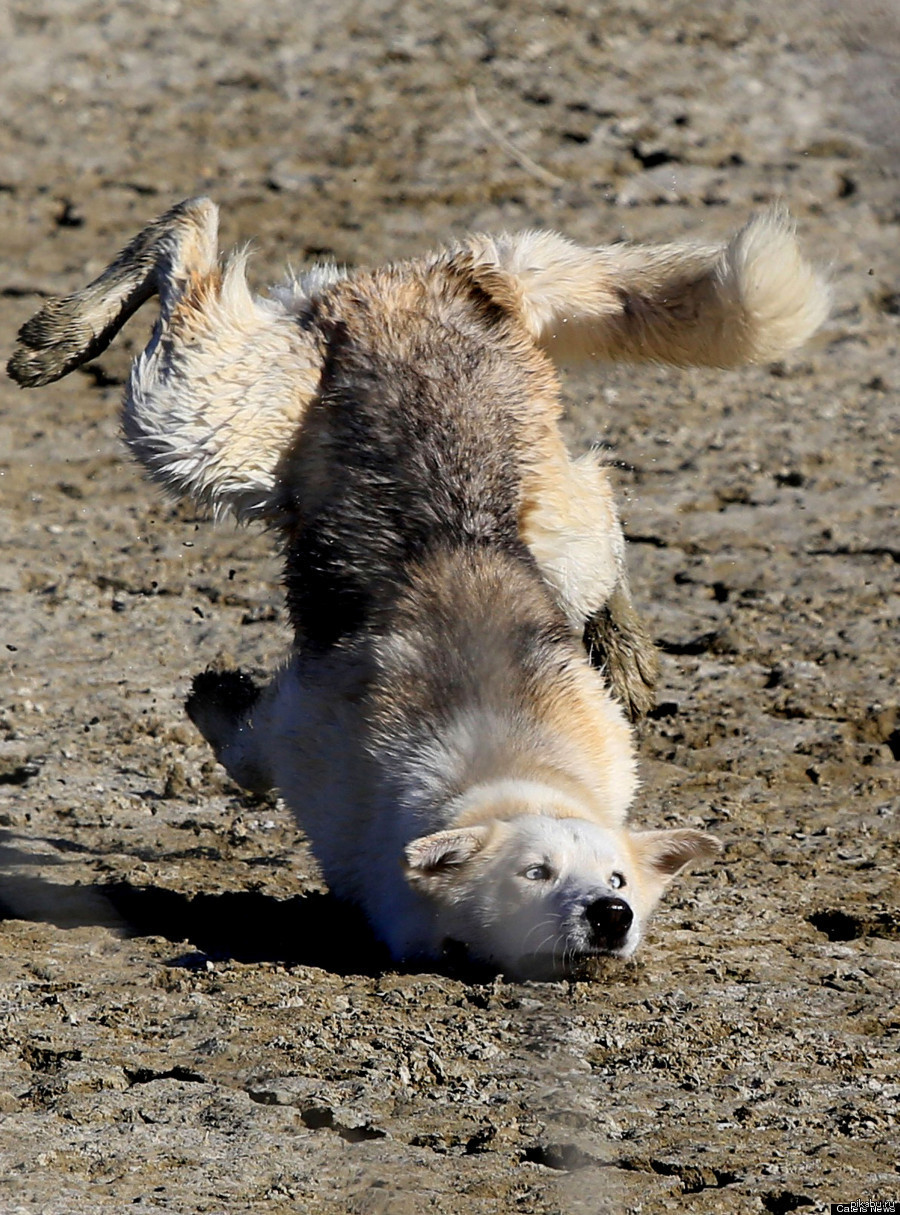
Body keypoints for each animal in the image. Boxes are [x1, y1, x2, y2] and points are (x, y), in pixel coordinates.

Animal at [7, 199, 825, 976]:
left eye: (618, 879)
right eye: (536, 872)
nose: (609, 915)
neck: (508, 765)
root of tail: (460, 277)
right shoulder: (297, 729)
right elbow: (242, 751)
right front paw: (213, 695)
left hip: (547, 529)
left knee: (598, 500)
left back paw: (624, 647)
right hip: (199, 424)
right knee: (190, 237)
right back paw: (60, 336)